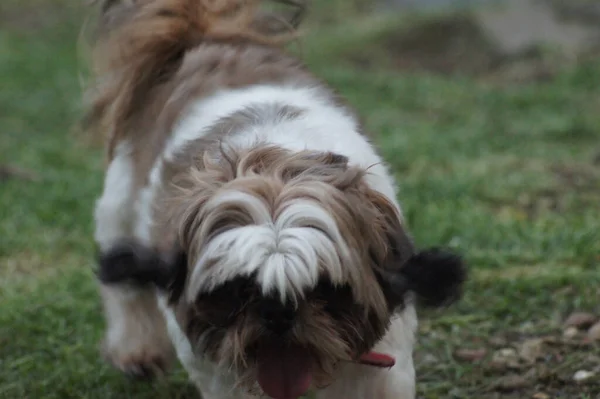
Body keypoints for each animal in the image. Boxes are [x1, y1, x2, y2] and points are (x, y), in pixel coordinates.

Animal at [86, 1, 466, 398]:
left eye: (327, 288)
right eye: (235, 290)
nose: (278, 313)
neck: (273, 167)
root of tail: (208, 39)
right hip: (123, 195)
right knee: (124, 279)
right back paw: (136, 349)